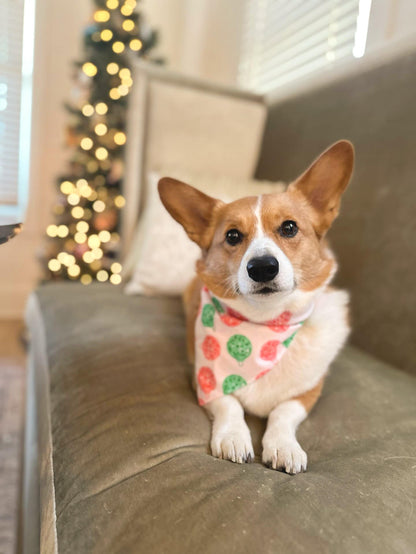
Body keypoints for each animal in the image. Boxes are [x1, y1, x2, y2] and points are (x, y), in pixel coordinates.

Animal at [158, 140, 352, 472]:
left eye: (289, 228)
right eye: (233, 235)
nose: (262, 267)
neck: (264, 323)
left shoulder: (308, 392)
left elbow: (283, 412)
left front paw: (284, 446)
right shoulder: (203, 381)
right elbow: (229, 404)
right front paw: (234, 438)